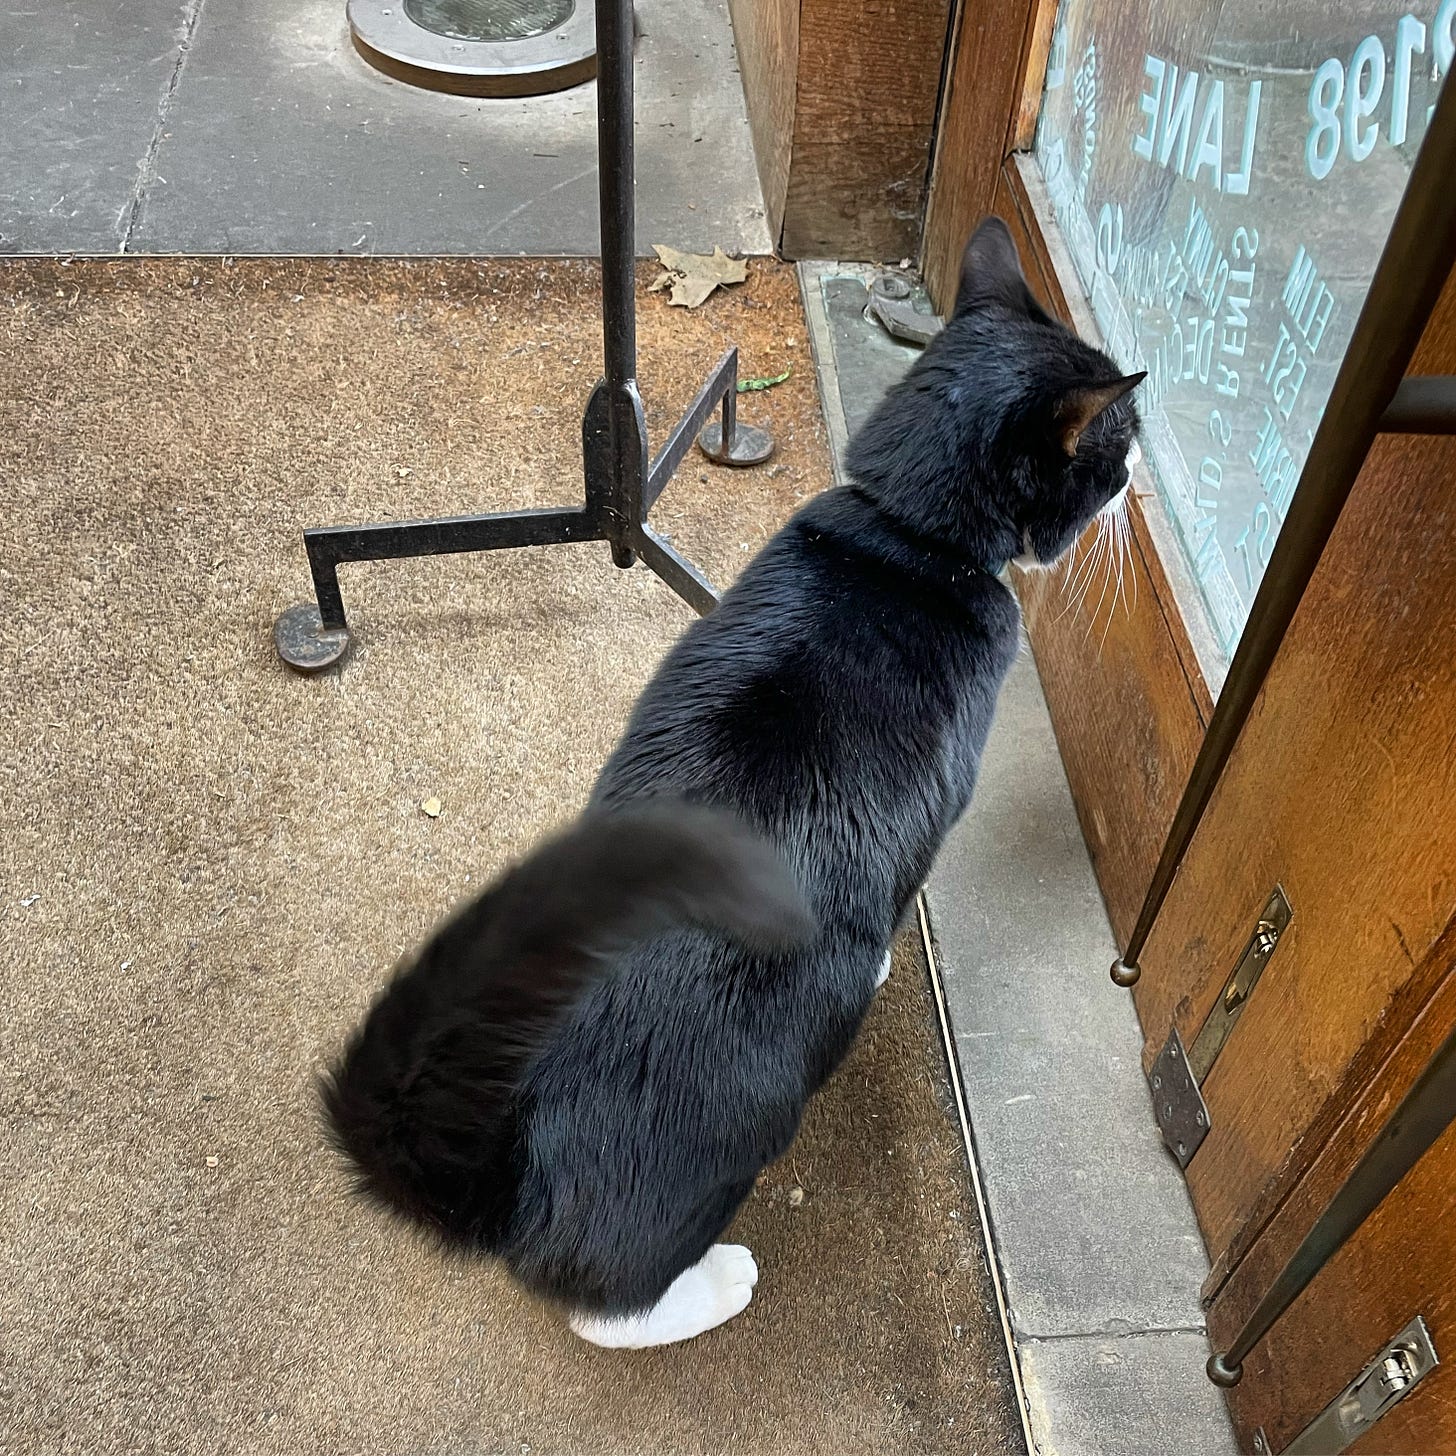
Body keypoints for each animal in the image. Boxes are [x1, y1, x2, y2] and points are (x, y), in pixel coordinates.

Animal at [324, 218, 1141, 1351]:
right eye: (1120, 440)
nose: (1140, 465)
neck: (905, 535)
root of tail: (513, 1182)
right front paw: (887, 963)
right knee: (605, 1302)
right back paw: (713, 1283)